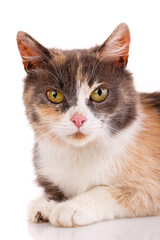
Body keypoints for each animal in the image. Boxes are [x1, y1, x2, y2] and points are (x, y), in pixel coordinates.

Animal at [16, 22, 160, 227]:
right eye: (54, 95)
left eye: (99, 93)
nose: (78, 119)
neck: (80, 152)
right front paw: (46, 202)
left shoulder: (151, 184)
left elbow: (106, 190)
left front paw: (71, 207)